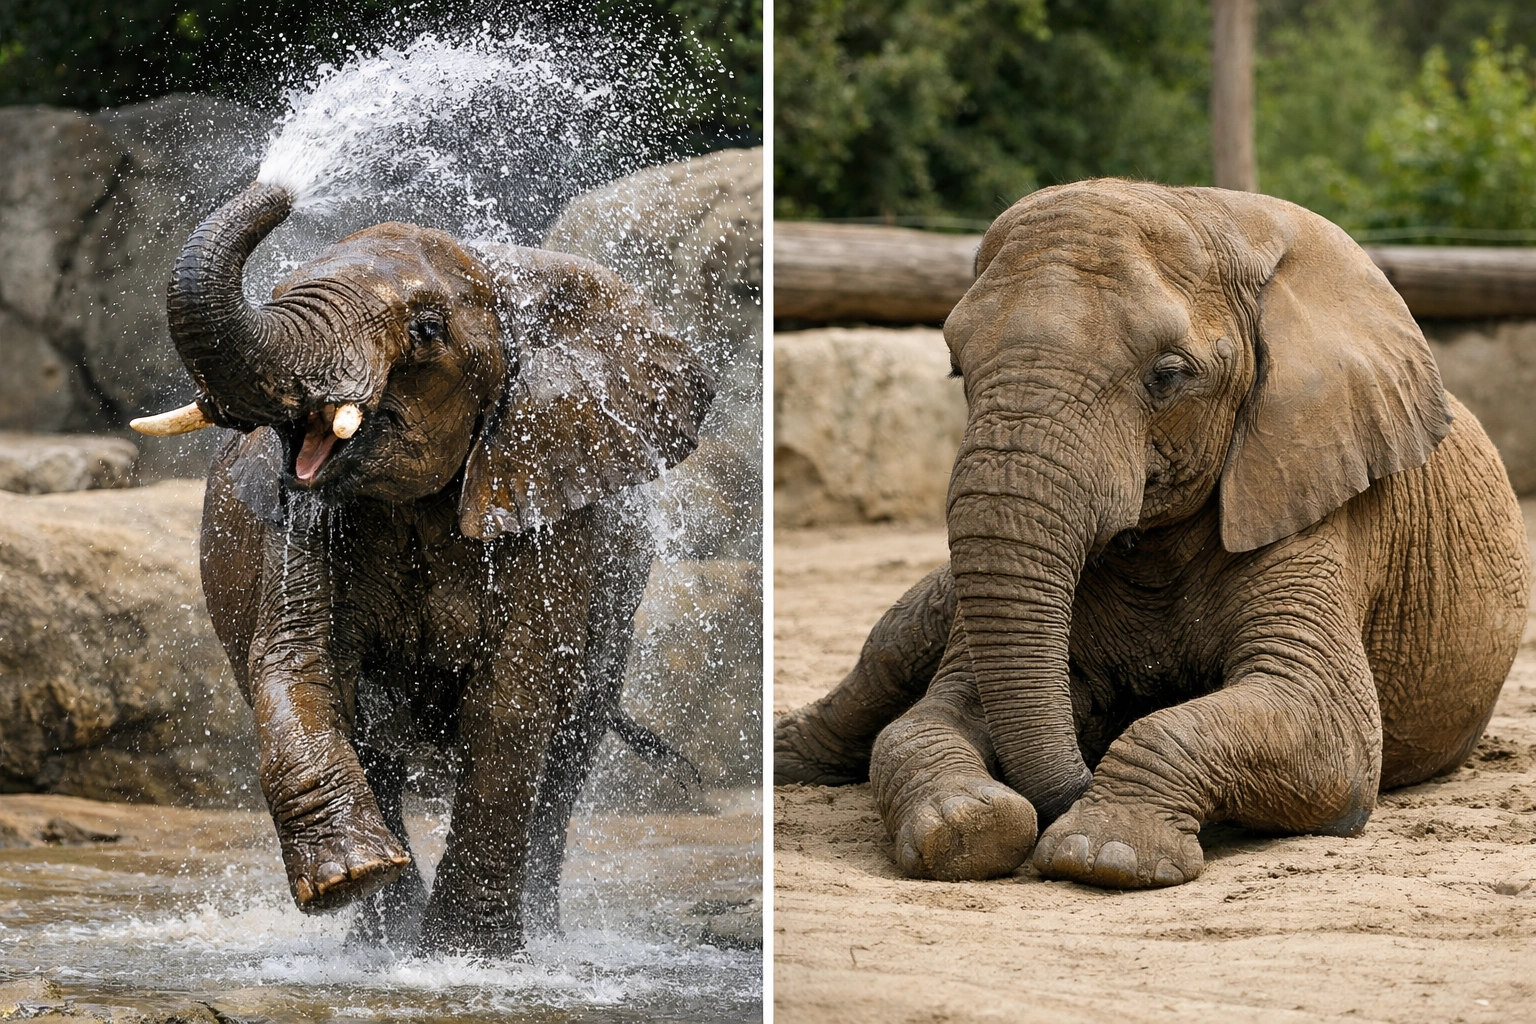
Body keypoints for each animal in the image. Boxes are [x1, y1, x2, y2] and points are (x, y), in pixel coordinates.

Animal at [132, 180, 715, 955]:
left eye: (429, 329)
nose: (278, 188)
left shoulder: (545, 506)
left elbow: (514, 695)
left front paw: (466, 957)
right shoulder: (306, 518)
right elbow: (299, 662)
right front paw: (351, 880)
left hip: (619, 605)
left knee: (570, 746)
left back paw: (537, 937)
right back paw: (378, 941)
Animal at [774, 179, 1532, 889]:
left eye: (1168, 376)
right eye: (958, 365)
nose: (1081, 761)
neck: (1224, 219)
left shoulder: (1315, 498)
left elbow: (1329, 723)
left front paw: (1103, 851)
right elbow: (922, 721)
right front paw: (970, 826)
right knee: (891, 652)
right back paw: (786, 756)